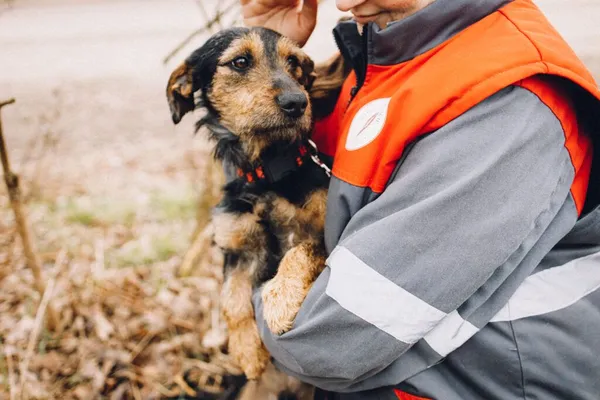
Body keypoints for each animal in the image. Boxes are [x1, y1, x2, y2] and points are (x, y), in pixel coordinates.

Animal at [166, 25, 350, 396]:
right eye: (239, 61)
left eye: (294, 62)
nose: (298, 103)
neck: (267, 171)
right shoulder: (237, 246)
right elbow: (230, 296)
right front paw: (246, 350)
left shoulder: (326, 236)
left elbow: (300, 250)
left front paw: (279, 301)